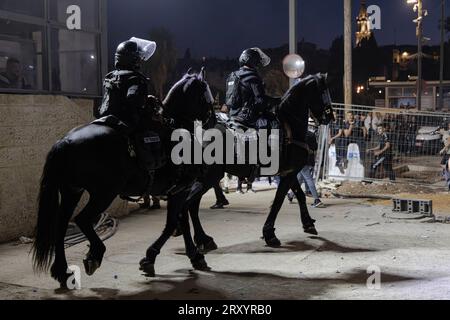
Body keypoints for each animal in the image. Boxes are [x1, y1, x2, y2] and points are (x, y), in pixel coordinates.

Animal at [32, 71, 214, 286]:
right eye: (206, 95)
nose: (212, 120)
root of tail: (65, 141)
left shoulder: (178, 190)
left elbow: (180, 221)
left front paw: (192, 254)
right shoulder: (180, 189)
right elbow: (173, 224)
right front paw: (152, 257)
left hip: (72, 191)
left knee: (61, 225)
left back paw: (62, 270)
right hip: (104, 193)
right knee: (82, 219)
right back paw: (95, 254)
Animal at [140, 73, 334, 276]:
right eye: (324, 91)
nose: (330, 116)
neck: (289, 124)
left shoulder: (289, 173)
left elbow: (299, 195)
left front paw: (308, 223)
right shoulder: (289, 174)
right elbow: (279, 202)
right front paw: (270, 233)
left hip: (204, 179)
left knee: (190, 206)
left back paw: (202, 239)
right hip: (207, 178)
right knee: (187, 206)